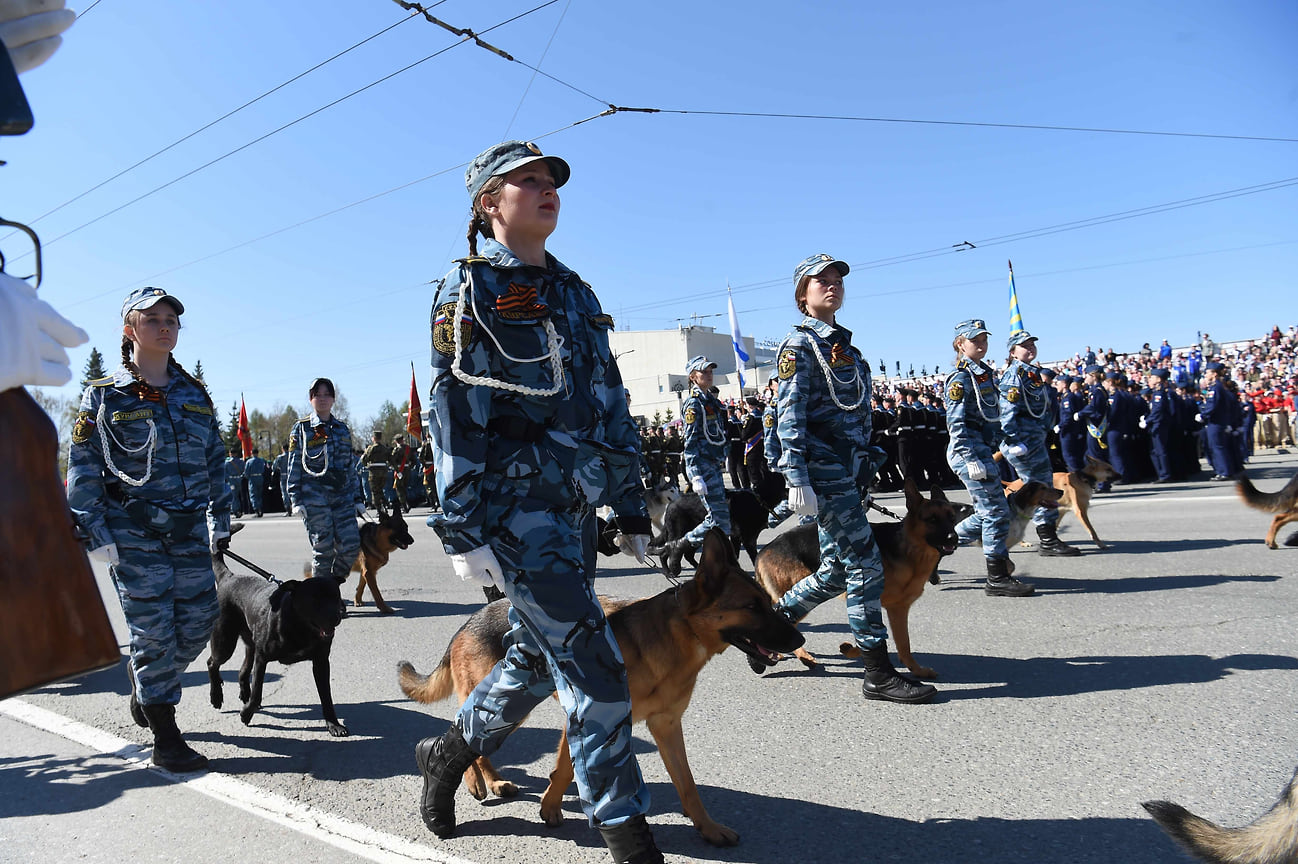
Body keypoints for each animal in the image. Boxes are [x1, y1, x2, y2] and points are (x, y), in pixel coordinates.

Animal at [207, 552, 350, 731]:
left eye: (336, 597)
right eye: (314, 600)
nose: (335, 618)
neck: (300, 627)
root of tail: (229, 577)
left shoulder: (321, 662)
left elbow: (326, 696)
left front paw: (333, 724)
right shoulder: (262, 659)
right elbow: (258, 692)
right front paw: (246, 714)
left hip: (250, 644)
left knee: (242, 670)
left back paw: (244, 693)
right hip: (224, 642)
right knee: (212, 663)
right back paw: (216, 696)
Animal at [394, 529, 799, 845]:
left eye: (766, 602)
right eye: (752, 607)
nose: (798, 638)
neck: (679, 633)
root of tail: (469, 620)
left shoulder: (666, 726)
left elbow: (687, 784)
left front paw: (708, 828)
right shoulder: (587, 716)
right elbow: (567, 768)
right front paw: (551, 808)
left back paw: (487, 781)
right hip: (508, 700)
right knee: (469, 730)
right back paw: (475, 781)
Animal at [747, 479, 960, 674]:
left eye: (951, 518)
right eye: (932, 520)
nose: (954, 538)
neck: (910, 547)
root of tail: (763, 551)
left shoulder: (897, 609)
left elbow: (903, 644)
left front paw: (917, 671)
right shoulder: (870, 601)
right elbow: (870, 635)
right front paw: (852, 650)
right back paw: (801, 657)